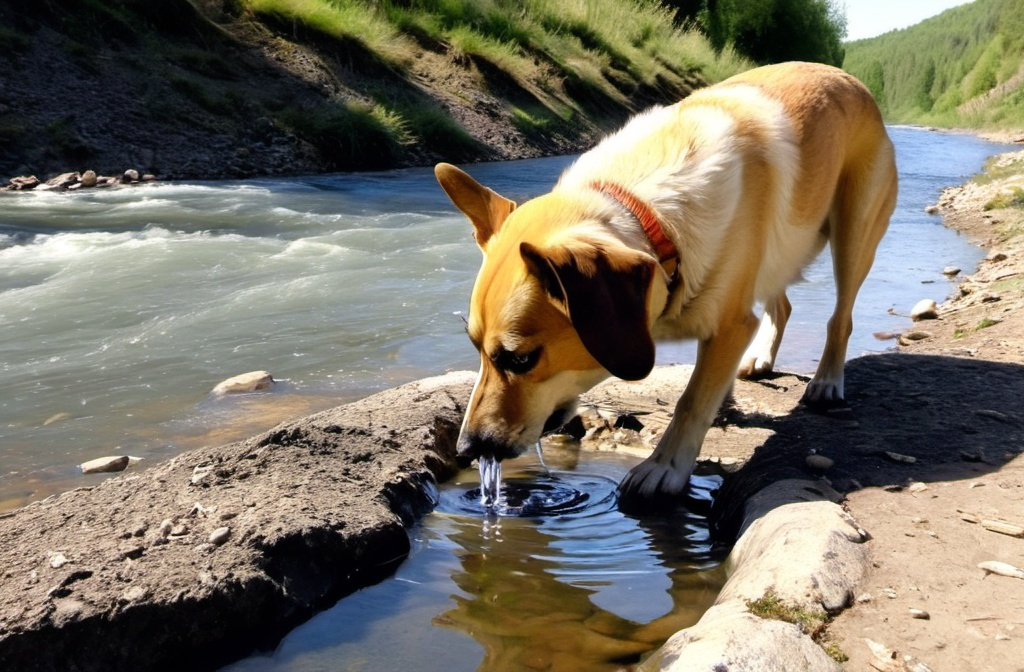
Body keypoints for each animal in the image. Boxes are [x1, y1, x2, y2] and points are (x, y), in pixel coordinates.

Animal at [432, 61, 897, 504]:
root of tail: (851, 80)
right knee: (781, 305)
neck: (646, 211)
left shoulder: (731, 324)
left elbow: (692, 400)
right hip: (777, 255)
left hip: (853, 234)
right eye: (475, 347)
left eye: (521, 359)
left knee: (841, 317)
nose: (469, 448)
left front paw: (665, 467)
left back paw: (827, 380)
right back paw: (761, 358)